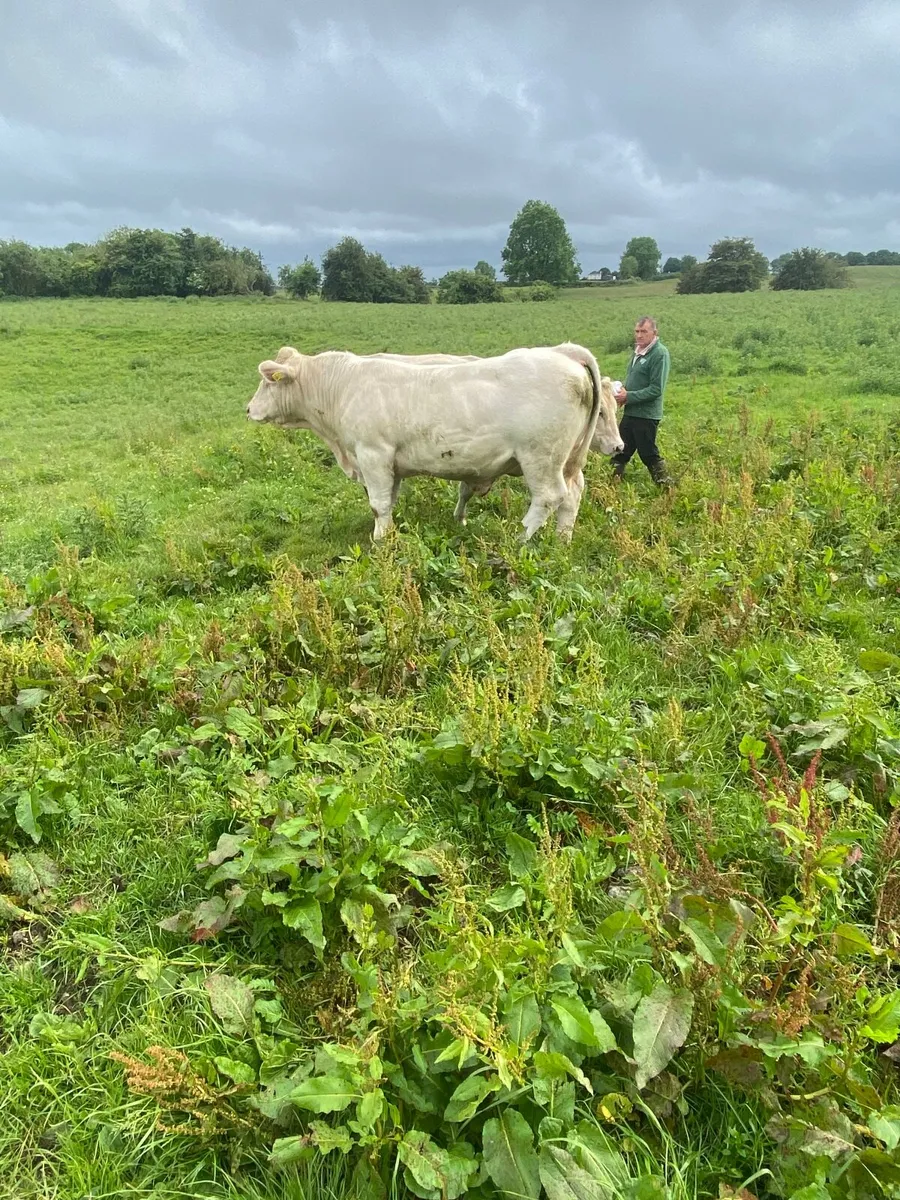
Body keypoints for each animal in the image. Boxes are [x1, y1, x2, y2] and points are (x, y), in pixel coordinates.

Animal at [247, 344, 623, 542]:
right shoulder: (390, 464)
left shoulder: (373, 454)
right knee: (572, 497)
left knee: (548, 497)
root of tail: (563, 353)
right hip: (567, 459)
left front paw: (379, 541)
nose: (248, 409)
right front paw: (387, 532)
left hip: (540, 456)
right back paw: (562, 540)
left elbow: (378, 504)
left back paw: (521, 540)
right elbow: (388, 501)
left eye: (267, 382)